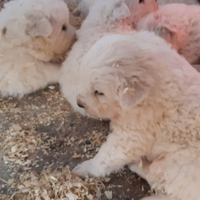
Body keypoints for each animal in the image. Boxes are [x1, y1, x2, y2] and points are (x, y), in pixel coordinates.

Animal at [73, 30, 200, 200]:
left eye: (99, 92)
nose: (79, 103)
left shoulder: (132, 136)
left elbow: (107, 155)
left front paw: (84, 167)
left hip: (175, 164)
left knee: (156, 178)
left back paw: (136, 165)